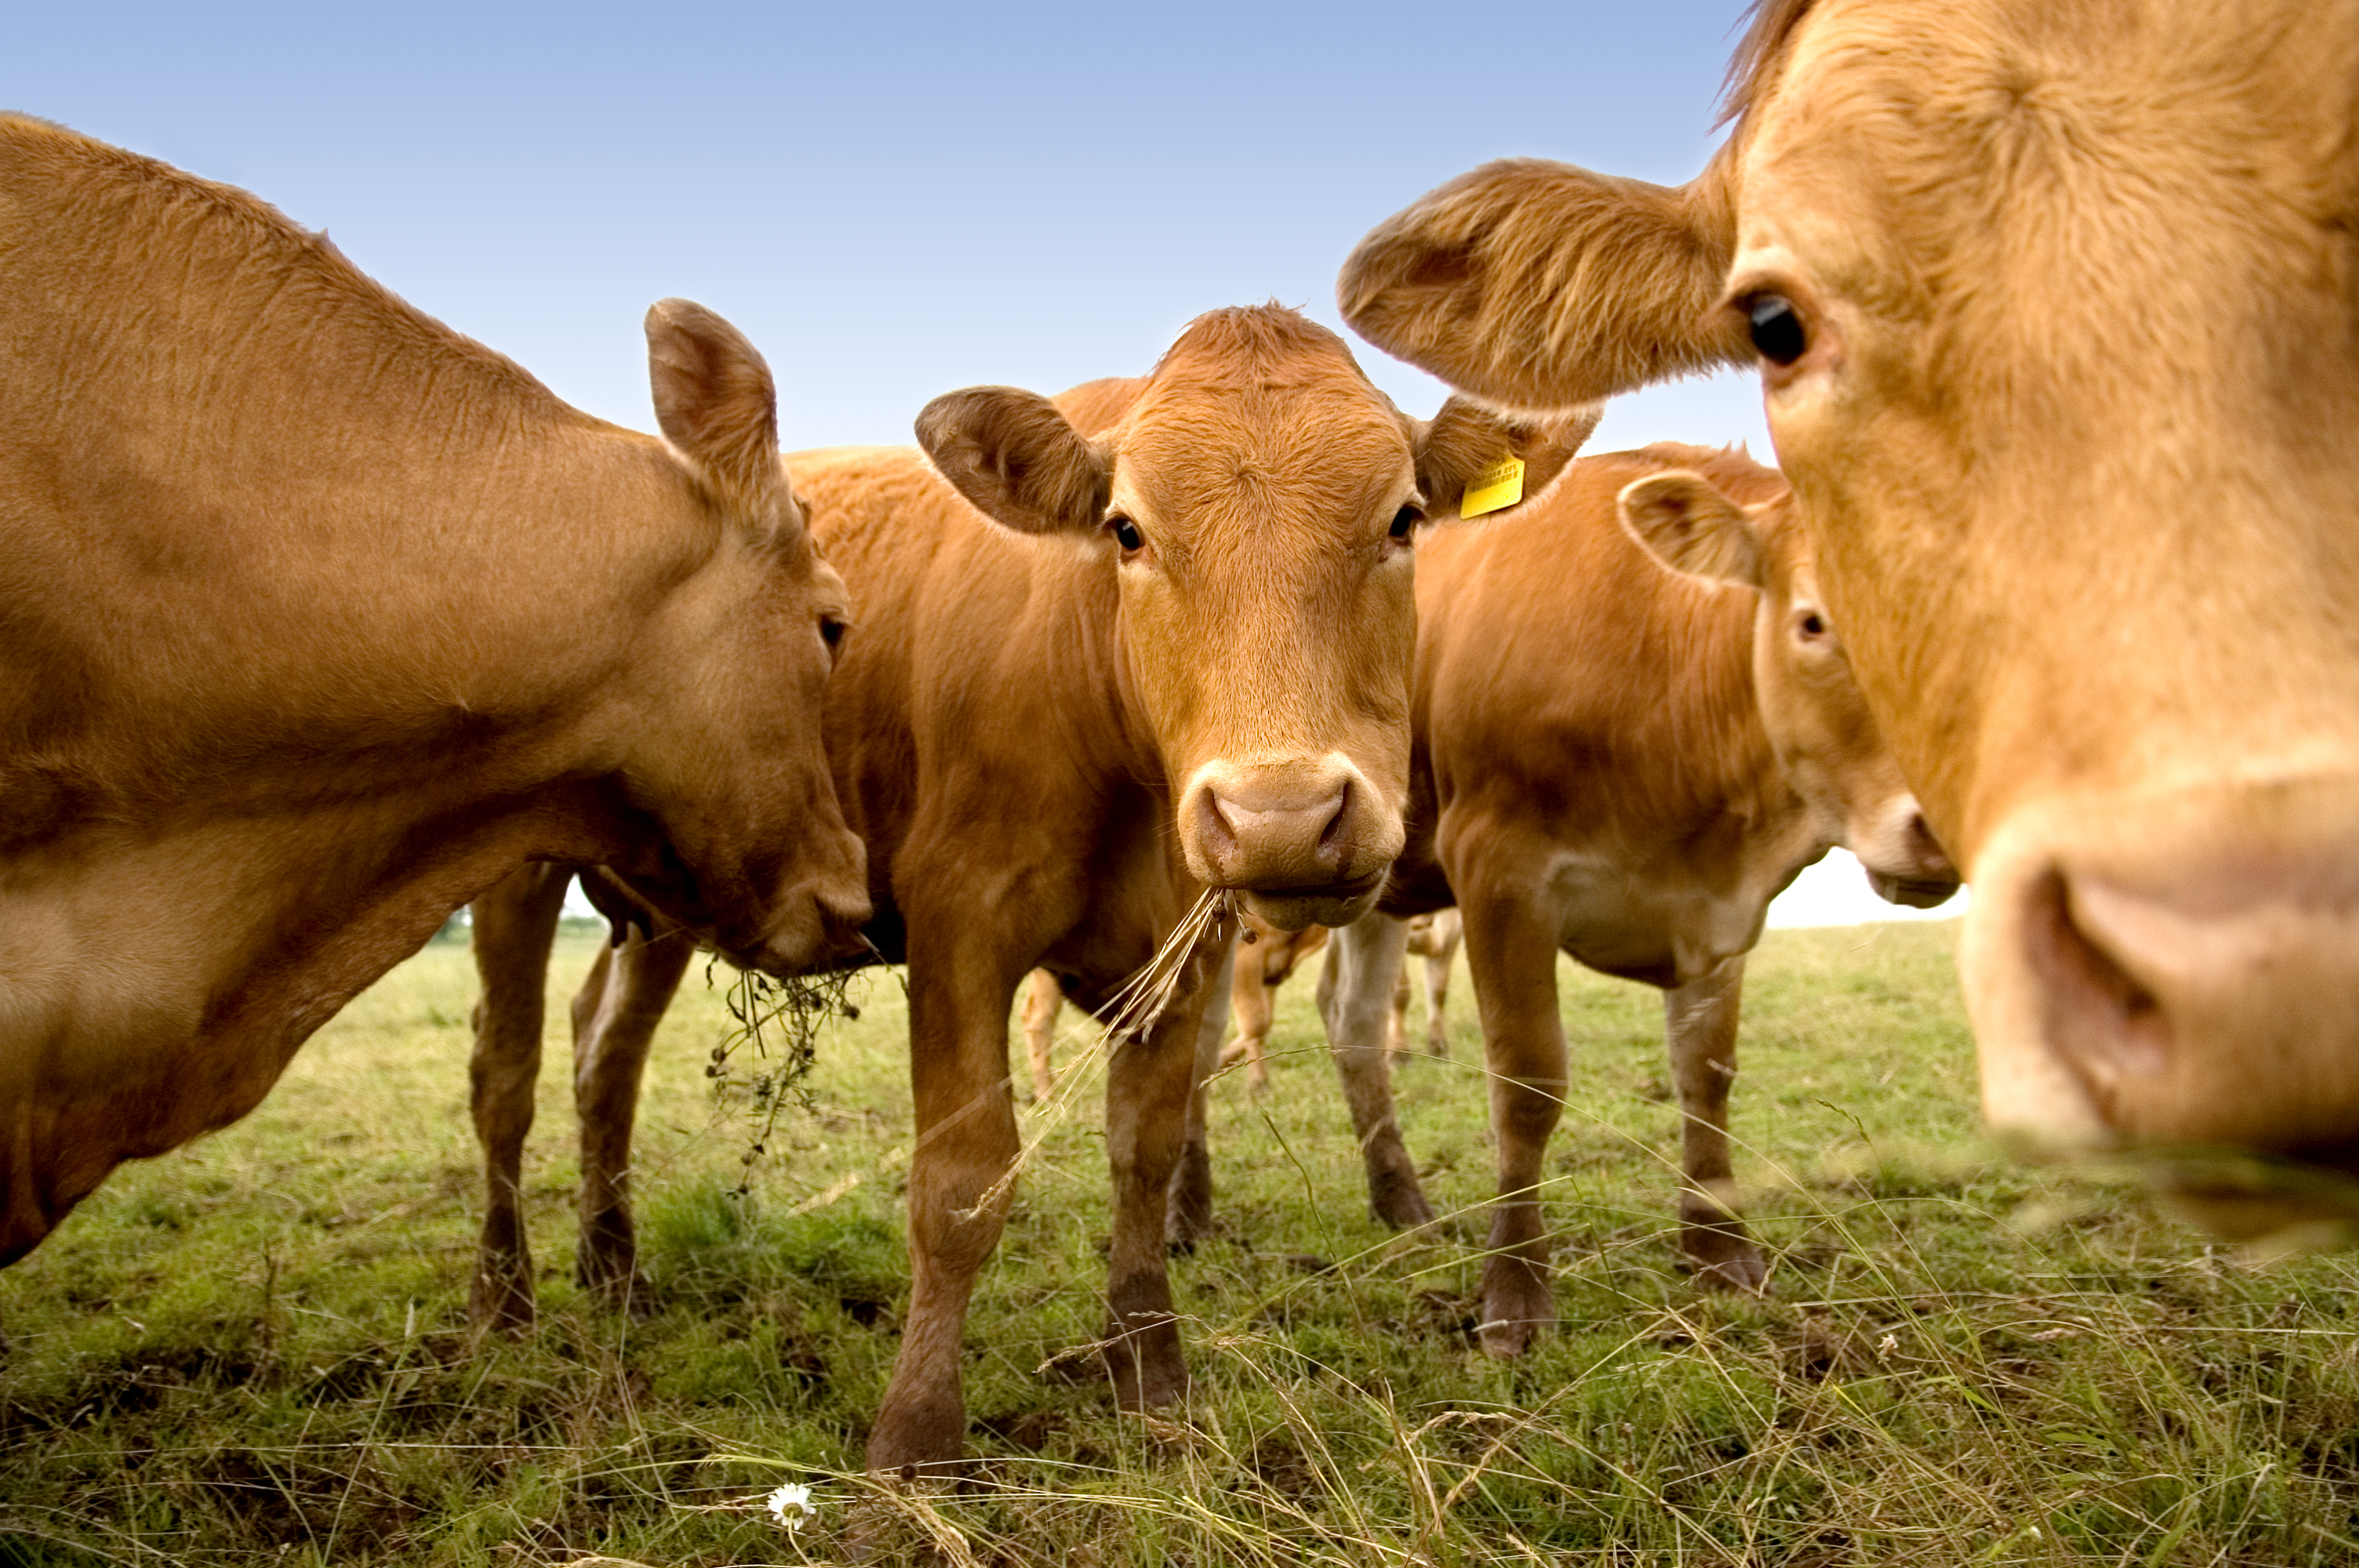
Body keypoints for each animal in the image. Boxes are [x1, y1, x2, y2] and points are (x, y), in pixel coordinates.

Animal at [461, 308, 1598, 1469]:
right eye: (1127, 531)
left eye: (1405, 519)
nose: (1280, 815)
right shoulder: (960, 922)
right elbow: (962, 1180)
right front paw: (917, 1429)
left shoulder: (1184, 951)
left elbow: (1144, 1151)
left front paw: (1149, 1369)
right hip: (513, 865)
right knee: (505, 1075)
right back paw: (506, 1297)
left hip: (668, 900)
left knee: (606, 1057)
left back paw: (614, 1268)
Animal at [1283, 444, 1958, 1353]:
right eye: (1814, 623)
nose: (1942, 824)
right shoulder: (1498, 871)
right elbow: (1528, 1084)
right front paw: (1515, 1292)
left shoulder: (1722, 909)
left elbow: (1705, 1073)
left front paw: (1719, 1250)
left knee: (1351, 1018)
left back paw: (1401, 1200)